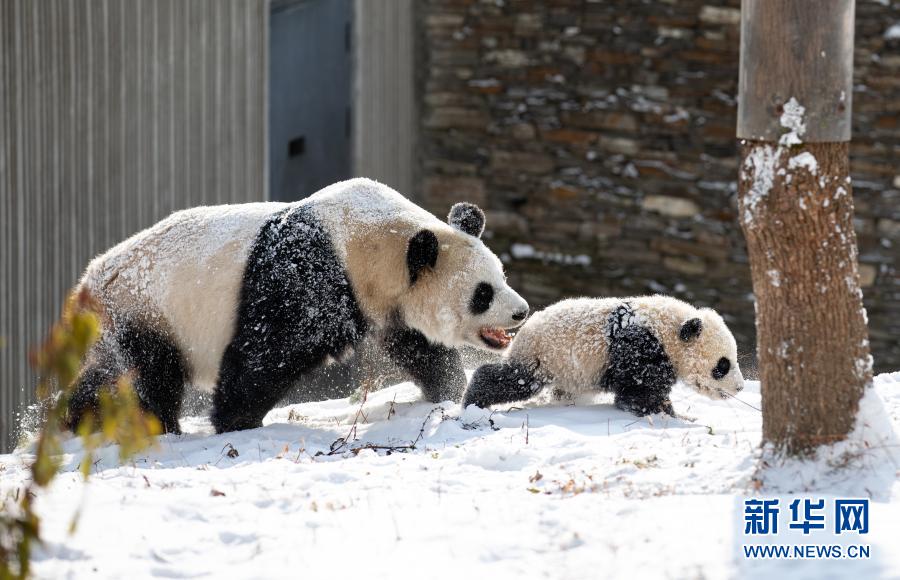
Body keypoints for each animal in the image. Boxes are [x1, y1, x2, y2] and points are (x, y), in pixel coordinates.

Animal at [68, 179, 528, 432]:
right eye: (483, 293)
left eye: (502, 275)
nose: (521, 312)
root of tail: (88, 282)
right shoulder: (307, 277)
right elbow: (267, 351)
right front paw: (237, 423)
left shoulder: (385, 302)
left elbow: (420, 348)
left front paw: (450, 391)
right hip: (147, 308)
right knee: (150, 375)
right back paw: (160, 427)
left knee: (104, 376)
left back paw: (74, 420)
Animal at [464, 296, 744, 414]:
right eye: (722, 365)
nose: (740, 387)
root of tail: (525, 329)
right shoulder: (640, 347)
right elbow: (640, 390)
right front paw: (663, 411)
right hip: (542, 356)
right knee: (516, 380)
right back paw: (474, 399)